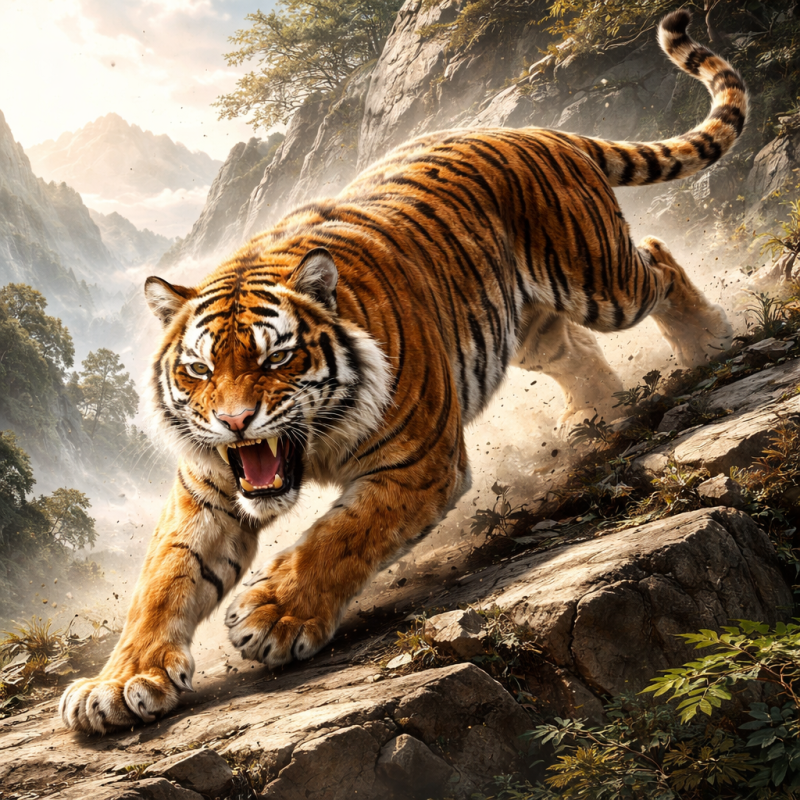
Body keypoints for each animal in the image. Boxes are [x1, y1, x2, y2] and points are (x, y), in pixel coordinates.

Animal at [61, 9, 745, 733]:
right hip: (528, 324)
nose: (235, 421)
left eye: (277, 358)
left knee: (658, 258)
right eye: (197, 369)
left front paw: (273, 616)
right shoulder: (207, 490)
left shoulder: (417, 464)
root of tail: (532, 129)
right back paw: (598, 415)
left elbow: (341, 535)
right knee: (577, 351)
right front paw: (120, 682)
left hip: (599, 277)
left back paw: (706, 342)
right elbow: (164, 580)